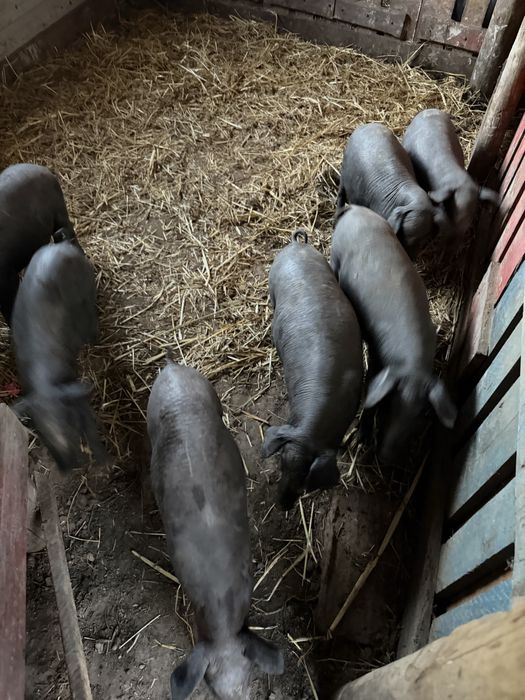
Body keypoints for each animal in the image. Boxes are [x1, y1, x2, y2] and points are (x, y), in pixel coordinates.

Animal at [11, 239, 107, 472]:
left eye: (68, 424)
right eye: (42, 435)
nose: (67, 467)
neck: (42, 384)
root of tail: (60, 247)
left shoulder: (75, 390)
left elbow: (90, 424)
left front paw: (105, 462)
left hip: (85, 287)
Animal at [330, 205, 457, 464]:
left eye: (419, 414)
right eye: (388, 403)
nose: (386, 457)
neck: (411, 363)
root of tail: (354, 210)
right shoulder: (376, 357)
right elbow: (370, 389)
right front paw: (362, 440)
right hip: (336, 255)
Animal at [336, 122, 437, 257]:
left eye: (423, 242)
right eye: (405, 237)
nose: (411, 257)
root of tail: (365, 125)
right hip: (344, 173)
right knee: (341, 194)